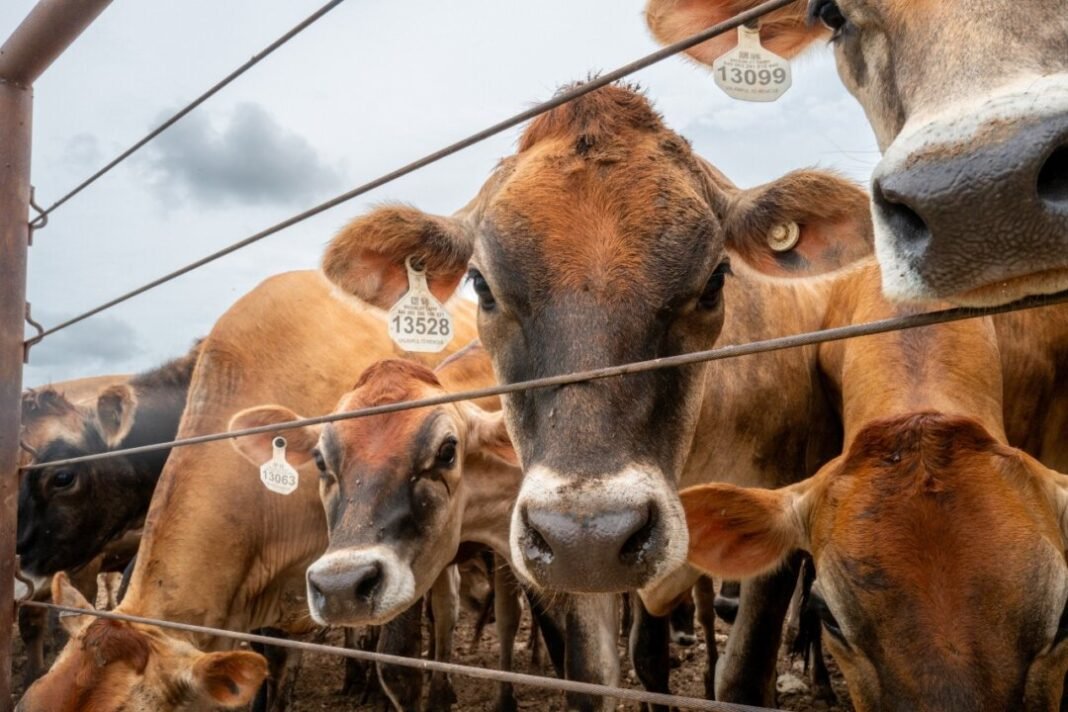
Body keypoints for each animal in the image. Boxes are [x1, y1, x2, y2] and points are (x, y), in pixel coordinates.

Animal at [318, 82, 873, 704]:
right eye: (482, 286)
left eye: (715, 280)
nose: (591, 535)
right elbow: (596, 671)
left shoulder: (775, 519)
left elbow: (740, 676)